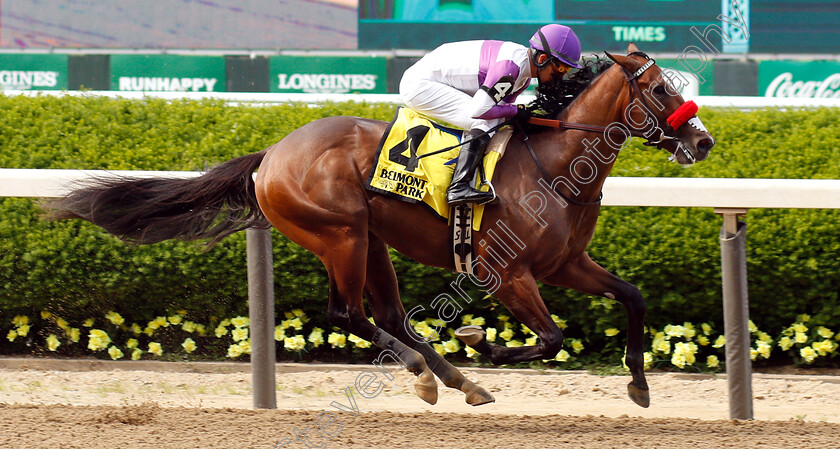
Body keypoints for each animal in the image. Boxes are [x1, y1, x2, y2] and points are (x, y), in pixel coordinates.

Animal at [47, 43, 716, 408]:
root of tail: (272, 155)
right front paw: (482, 340)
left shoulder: (566, 263)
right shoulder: (505, 274)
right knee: (348, 313)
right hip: (339, 235)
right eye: (661, 89)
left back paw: (453, 380)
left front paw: (639, 386)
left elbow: (632, 296)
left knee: (389, 316)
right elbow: (550, 339)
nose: (704, 141)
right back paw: (430, 374)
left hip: (370, 241)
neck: (553, 165)